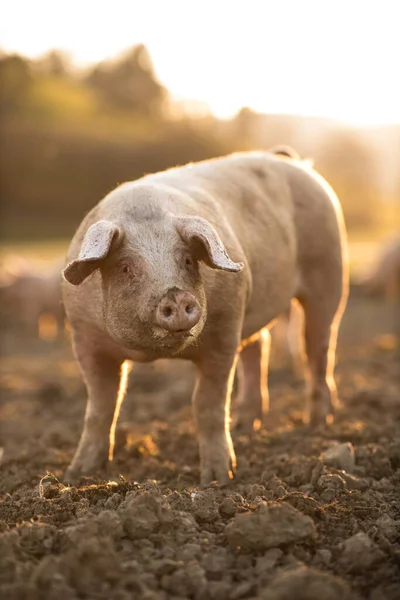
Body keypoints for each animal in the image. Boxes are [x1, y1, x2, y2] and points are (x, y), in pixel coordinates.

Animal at [61, 150, 346, 488]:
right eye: (125, 268)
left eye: (186, 260)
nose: (176, 295)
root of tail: (293, 160)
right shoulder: (85, 340)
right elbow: (101, 407)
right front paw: (77, 474)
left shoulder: (224, 332)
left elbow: (207, 405)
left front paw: (219, 479)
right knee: (259, 347)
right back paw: (245, 425)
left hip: (330, 274)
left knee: (319, 350)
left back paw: (317, 422)